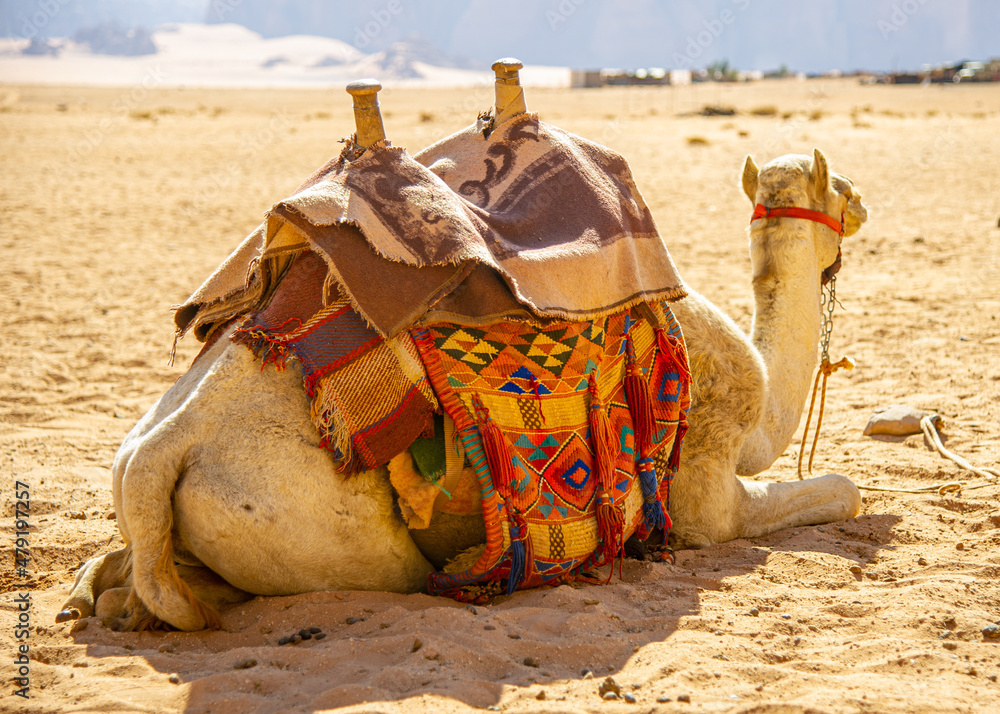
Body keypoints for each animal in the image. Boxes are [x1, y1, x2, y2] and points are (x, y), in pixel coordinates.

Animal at [57, 75, 868, 633]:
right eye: (840, 187)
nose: (861, 203)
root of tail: (155, 454)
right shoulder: (704, 491)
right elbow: (842, 491)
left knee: (137, 571)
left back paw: (101, 598)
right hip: (325, 529)